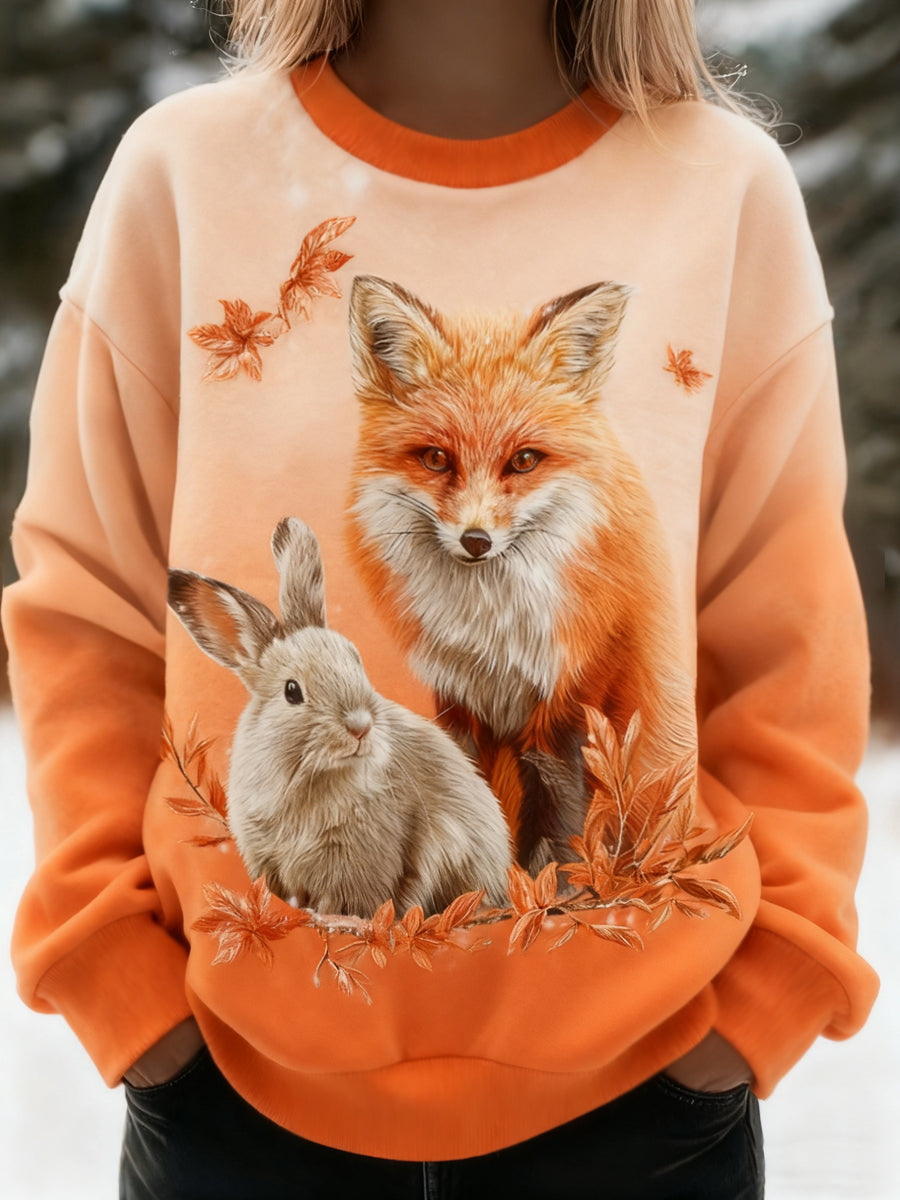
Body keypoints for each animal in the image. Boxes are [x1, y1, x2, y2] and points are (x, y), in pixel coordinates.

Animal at [167, 517, 512, 919]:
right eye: (292, 691)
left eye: (355, 660)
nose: (360, 726)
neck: (310, 774)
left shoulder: (358, 865)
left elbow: (348, 905)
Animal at [345, 274, 696, 871]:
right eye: (436, 459)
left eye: (524, 461)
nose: (476, 541)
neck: (493, 629)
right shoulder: (456, 693)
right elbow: (466, 785)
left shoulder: (572, 694)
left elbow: (558, 815)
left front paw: (549, 887)